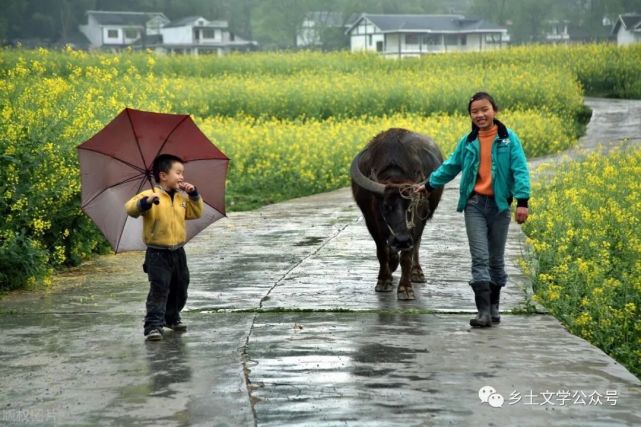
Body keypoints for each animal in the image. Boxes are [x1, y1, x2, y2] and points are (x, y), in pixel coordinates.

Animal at [348, 129, 442, 300]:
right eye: (386, 207)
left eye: (410, 207)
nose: (402, 240)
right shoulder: (371, 221)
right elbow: (382, 251)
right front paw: (384, 280)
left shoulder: (417, 221)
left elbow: (407, 256)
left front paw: (405, 288)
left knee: (416, 245)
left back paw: (416, 272)